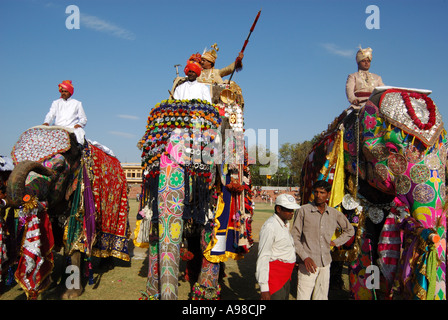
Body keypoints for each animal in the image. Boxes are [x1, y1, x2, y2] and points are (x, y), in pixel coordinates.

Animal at [5, 125, 130, 300]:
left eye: (58, 168)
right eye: (14, 162)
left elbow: (74, 236)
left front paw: (69, 294)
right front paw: (51, 283)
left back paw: (107, 265)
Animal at [136, 80, 254, 300]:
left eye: (203, 153)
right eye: (150, 162)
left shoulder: (220, 185)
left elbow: (209, 236)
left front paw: (203, 295)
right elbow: (155, 232)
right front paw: (150, 295)